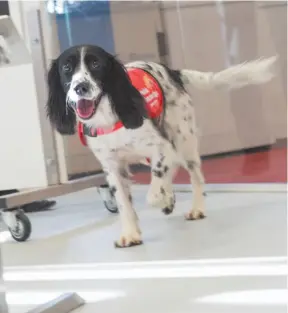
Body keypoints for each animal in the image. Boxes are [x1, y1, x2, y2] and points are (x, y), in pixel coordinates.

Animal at [46, 45, 276, 247]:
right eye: (66, 68)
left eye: (96, 64)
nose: (80, 87)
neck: (107, 118)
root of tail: (172, 72)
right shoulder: (113, 167)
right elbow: (124, 203)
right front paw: (131, 234)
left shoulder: (163, 148)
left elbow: (153, 193)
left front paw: (163, 200)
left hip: (184, 143)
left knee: (195, 177)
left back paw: (196, 209)